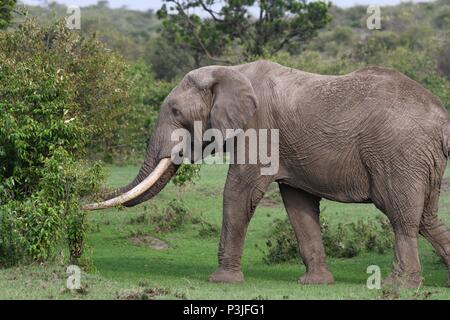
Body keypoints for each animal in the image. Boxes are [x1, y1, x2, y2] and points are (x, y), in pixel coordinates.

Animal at [84, 59, 450, 288]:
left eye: (175, 111)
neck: (230, 70)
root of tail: (441, 118)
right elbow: (298, 205)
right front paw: (315, 283)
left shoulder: (259, 128)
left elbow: (239, 191)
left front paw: (221, 281)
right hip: (420, 158)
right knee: (427, 219)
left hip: (398, 153)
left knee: (402, 217)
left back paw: (397, 286)